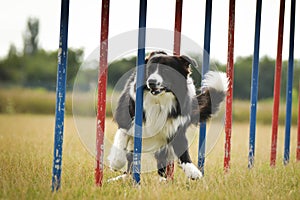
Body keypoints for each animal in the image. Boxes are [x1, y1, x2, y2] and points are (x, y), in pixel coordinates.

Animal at [108, 51, 227, 180]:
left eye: (166, 70)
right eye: (149, 69)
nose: (151, 82)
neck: (159, 100)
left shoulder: (175, 126)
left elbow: (182, 148)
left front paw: (192, 171)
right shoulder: (126, 119)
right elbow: (122, 137)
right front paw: (116, 162)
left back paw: (162, 179)